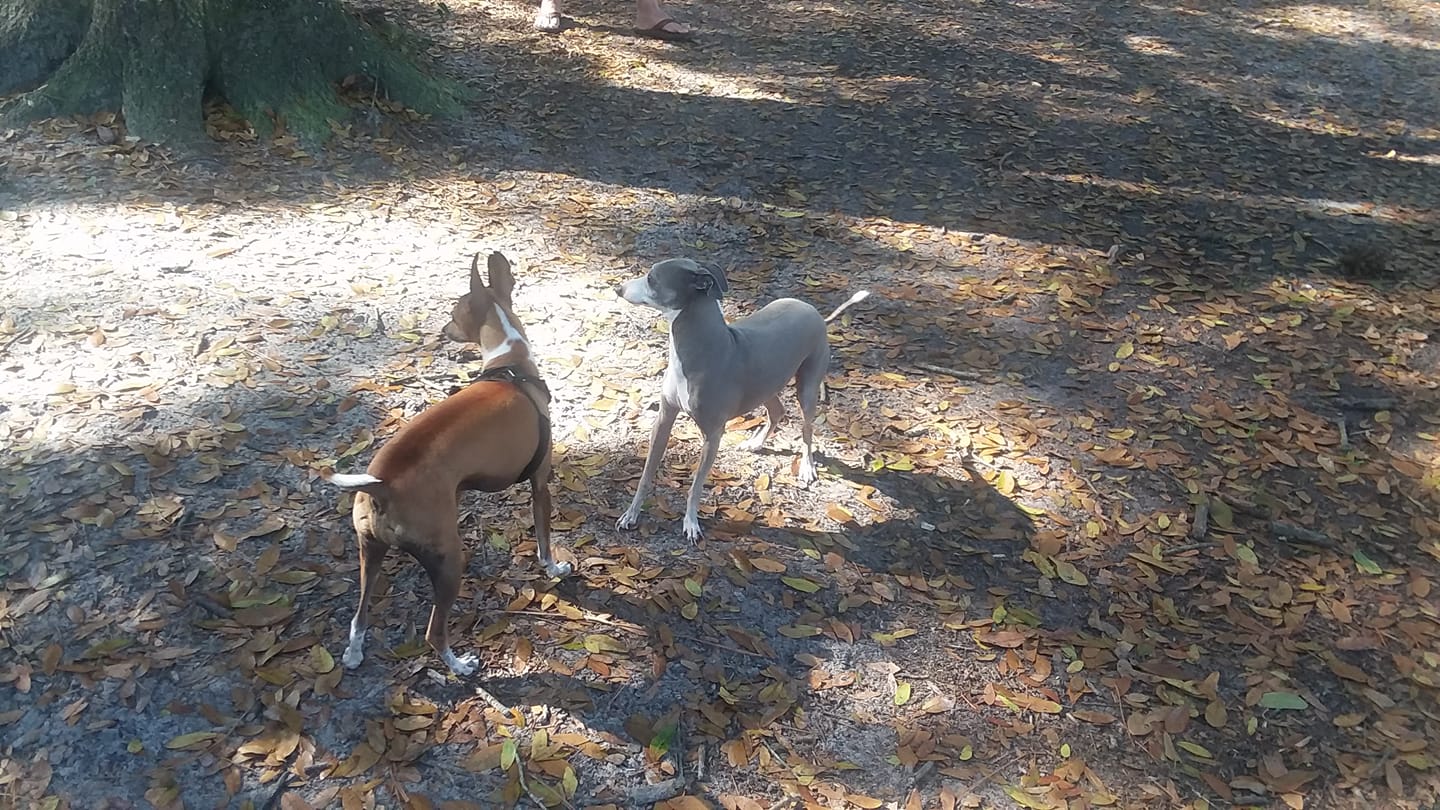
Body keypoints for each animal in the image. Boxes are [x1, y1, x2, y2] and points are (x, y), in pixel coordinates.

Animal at [329, 252, 570, 674]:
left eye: (453, 313)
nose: (443, 329)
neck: (510, 364)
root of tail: (380, 485)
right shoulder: (540, 484)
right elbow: (543, 541)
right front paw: (554, 569)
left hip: (370, 553)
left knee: (359, 617)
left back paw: (355, 653)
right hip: (449, 561)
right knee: (433, 632)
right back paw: (460, 665)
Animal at [616, 255, 864, 539]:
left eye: (651, 278)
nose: (618, 288)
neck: (700, 349)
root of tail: (815, 313)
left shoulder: (713, 436)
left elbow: (696, 486)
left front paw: (691, 523)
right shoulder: (664, 419)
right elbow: (646, 474)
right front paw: (631, 514)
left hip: (807, 387)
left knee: (807, 428)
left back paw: (806, 466)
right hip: (765, 385)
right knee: (778, 411)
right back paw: (755, 443)